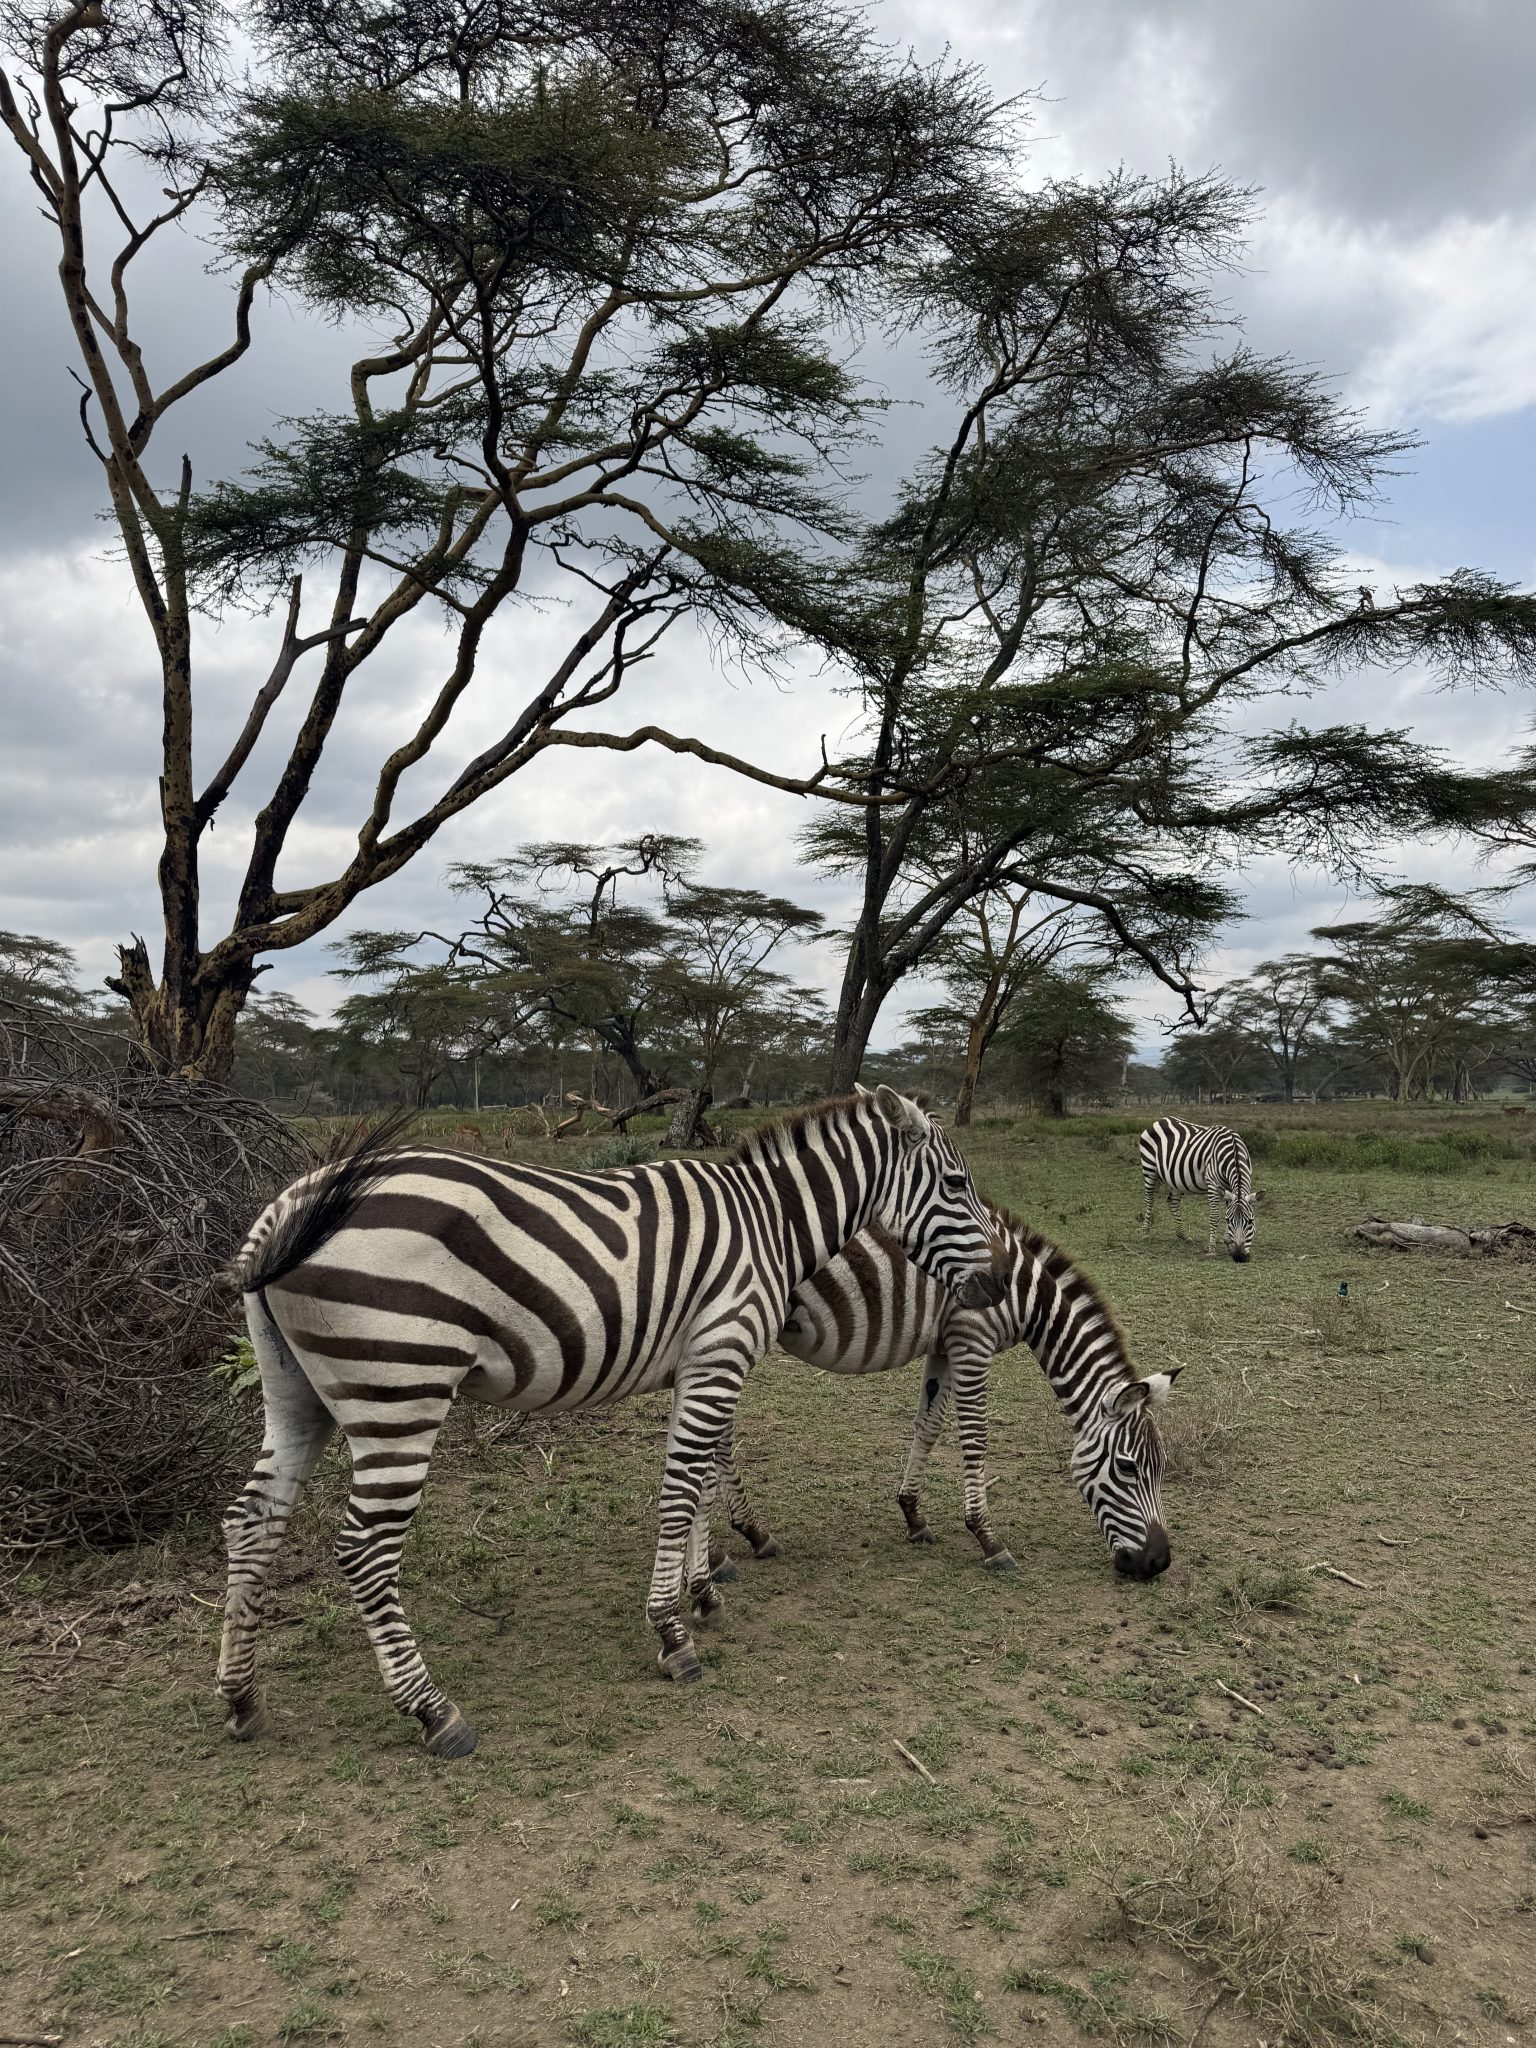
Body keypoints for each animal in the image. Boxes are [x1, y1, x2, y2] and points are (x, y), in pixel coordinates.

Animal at [217, 1087, 1004, 1757]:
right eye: (957, 1184)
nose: (998, 1282)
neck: (769, 1220)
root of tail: (288, 1207)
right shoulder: (719, 1353)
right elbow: (681, 1492)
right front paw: (672, 1632)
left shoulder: (695, 1365)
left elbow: (697, 1481)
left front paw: (703, 1592)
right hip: (399, 1388)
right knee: (364, 1550)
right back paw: (432, 1710)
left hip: (295, 1393)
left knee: (251, 1521)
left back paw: (241, 1697)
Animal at [695, 1210, 1179, 1586]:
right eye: (1128, 1468)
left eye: (1161, 1468)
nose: (1158, 1562)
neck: (1024, 1294)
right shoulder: (972, 1340)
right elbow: (975, 1437)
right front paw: (987, 1538)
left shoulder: (945, 1345)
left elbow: (928, 1425)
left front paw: (913, 1515)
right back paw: (724, 1553)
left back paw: (751, 1534)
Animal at [1138, 1115, 1254, 1262]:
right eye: (1229, 1221)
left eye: (1250, 1221)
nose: (1239, 1257)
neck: (1234, 1150)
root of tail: (1160, 1120)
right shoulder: (1213, 1185)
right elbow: (1214, 1217)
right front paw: (1211, 1251)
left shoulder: (1228, 1189)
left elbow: (1227, 1210)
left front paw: (1228, 1243)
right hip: (1149, 1169)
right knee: (1149, 1200)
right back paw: (1145, 1233)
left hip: (1174, 1178)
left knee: (1173, 1202)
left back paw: (1183, 1236)